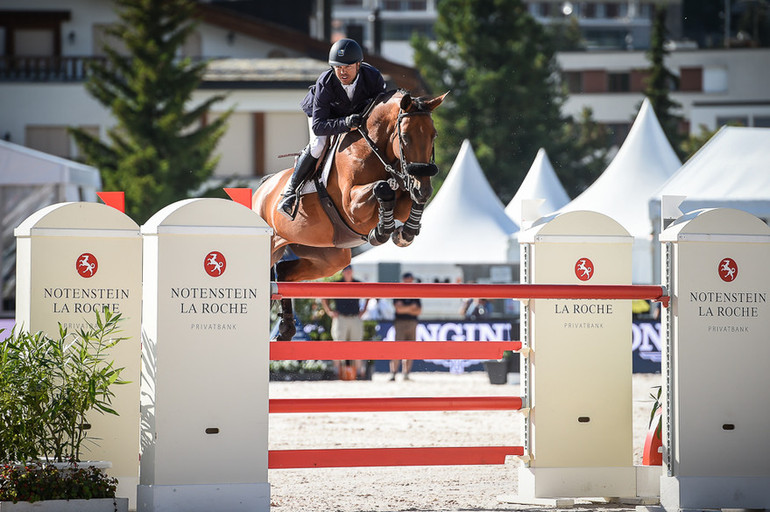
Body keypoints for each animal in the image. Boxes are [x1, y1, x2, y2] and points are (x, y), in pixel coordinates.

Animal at [254, 89, 444, 340]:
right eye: (404, 137)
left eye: (434, 135)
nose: (423, 188)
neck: (375, 151)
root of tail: (262, 189)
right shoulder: (352, 206)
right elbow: (382, 188)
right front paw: (381, 231)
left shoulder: (403, 192)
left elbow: (405, 200)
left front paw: (405, 232)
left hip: (329, 257)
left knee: (284, 273)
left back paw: (286, 330)